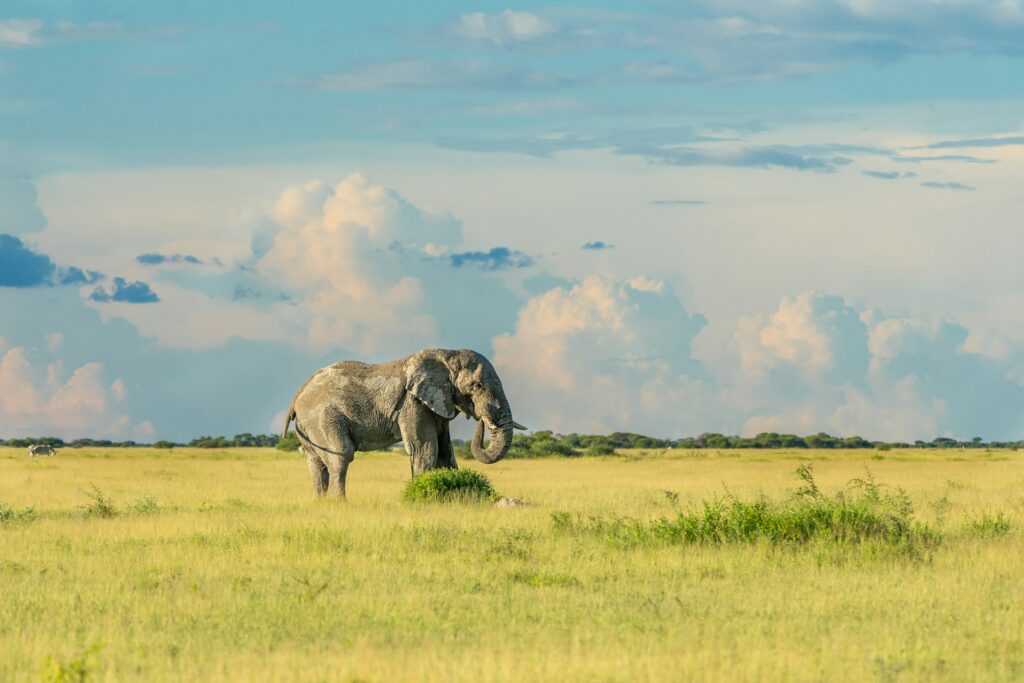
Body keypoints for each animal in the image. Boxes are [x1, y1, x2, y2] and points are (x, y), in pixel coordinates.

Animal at [280, 350, 524, 499]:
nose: (482, 421)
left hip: (308, 426)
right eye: (476, 386)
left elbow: (445, 451)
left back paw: (320, 503)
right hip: (323, 418)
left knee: (315, 462)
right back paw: (339, 503)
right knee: (341, 455)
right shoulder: (412, 403)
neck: (446, 354)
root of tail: (297, 396)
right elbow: (425, 449)